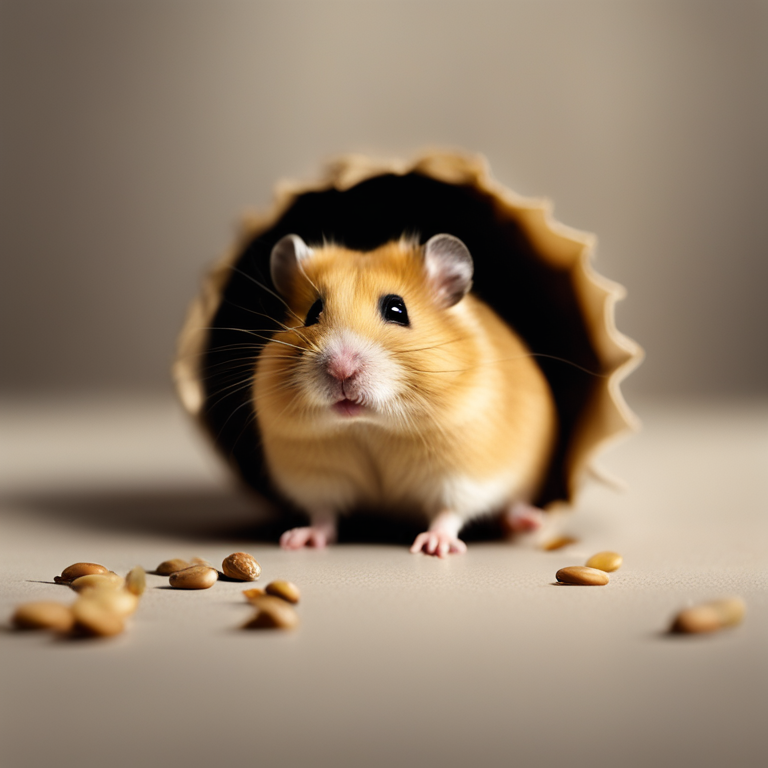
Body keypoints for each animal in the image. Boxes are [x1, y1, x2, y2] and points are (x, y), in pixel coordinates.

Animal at [254, 233, 558, 557]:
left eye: (397, 311)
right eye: (312, 312)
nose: (341, 370)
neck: (368, 427)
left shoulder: (462, 473)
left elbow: (449, 512)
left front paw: (434, 547)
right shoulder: (315, 475)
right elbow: (323, 513)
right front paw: (297, 541)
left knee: (513, 505)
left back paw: (531, 520)